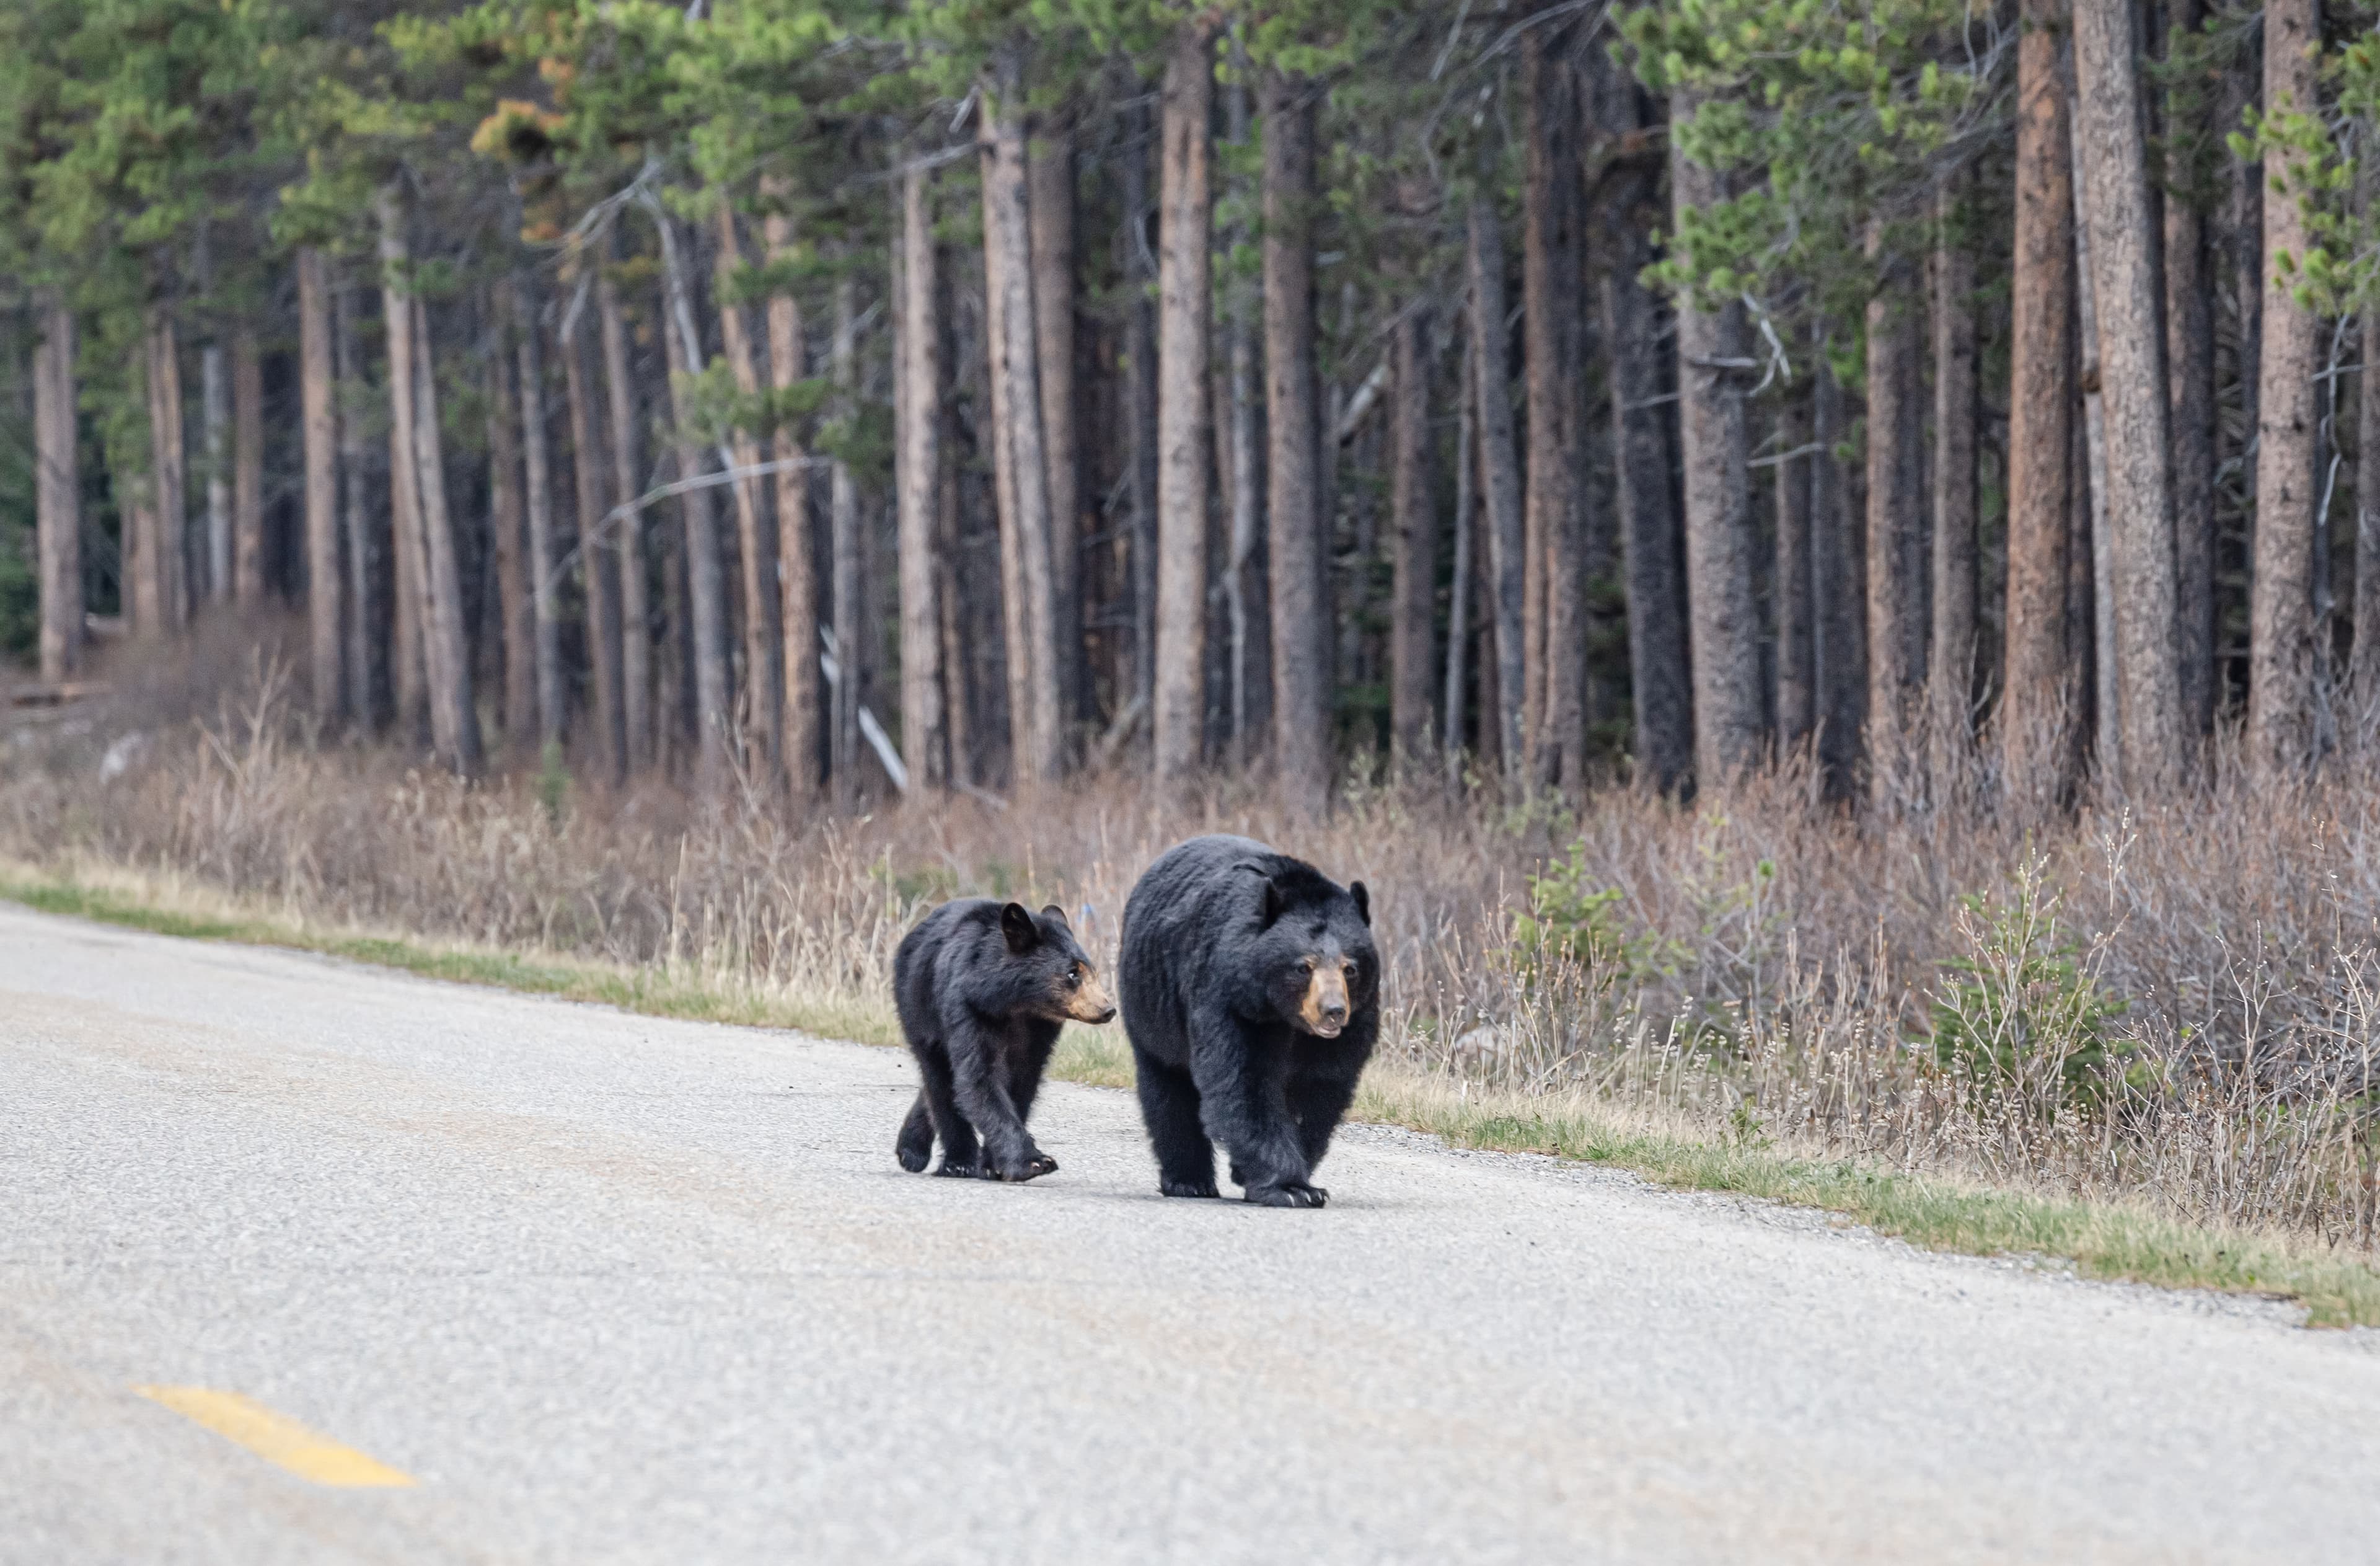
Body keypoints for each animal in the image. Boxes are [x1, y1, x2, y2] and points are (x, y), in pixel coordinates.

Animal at [892, 898, 1116, 1182]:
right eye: (1072, 974)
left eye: (1093, 972)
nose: (1108, 1009)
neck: (1013, 1002)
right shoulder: (969, 1007)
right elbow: (980, 1077)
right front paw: (1033, 1162)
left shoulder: (1039, 1028)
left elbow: (1023, 1079)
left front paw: (995, 1165)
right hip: (919, 1008)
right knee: (940, 1079)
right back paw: (955, 1162)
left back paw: (911, 1149)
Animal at [1116, 834, 1379, 1207]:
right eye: (1304, 966)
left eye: (1350, 968)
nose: (1333, 1010)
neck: (1285, 1016)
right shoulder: (1231, 998)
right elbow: (1245, 1081)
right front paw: (1291, 1188)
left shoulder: (1350, 1029)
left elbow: (1317, 1091)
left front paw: (1269, 1175)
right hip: (1151, 1006)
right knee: (1167, 1088)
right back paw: (1189, 1181)